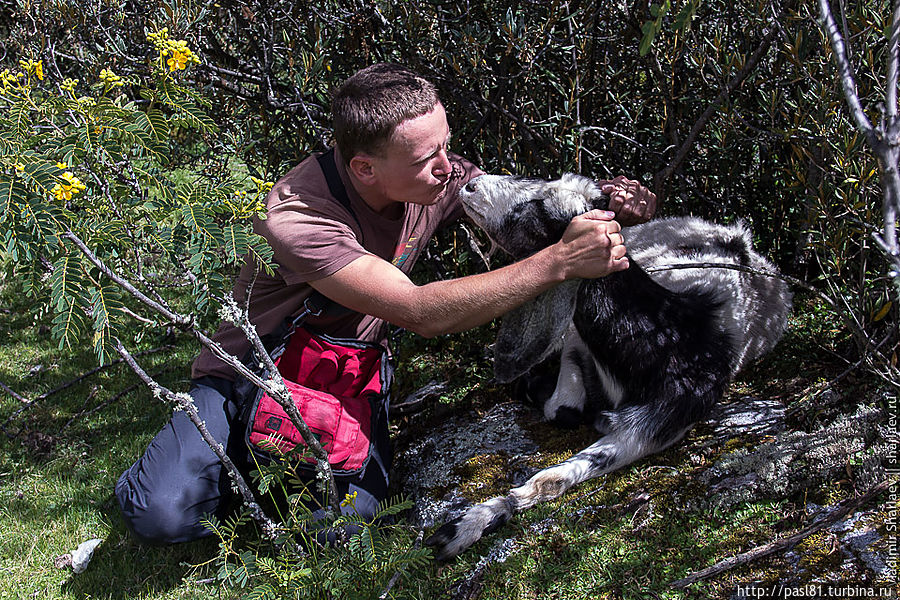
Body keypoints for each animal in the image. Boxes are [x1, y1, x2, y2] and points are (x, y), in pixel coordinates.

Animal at [426, 176, 792, 560]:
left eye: (539, 206)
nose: (471, 184)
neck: (672, 333)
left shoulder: (654, 427)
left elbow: (554, 475)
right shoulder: (578, 337)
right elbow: (562, 412)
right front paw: (471, 522)